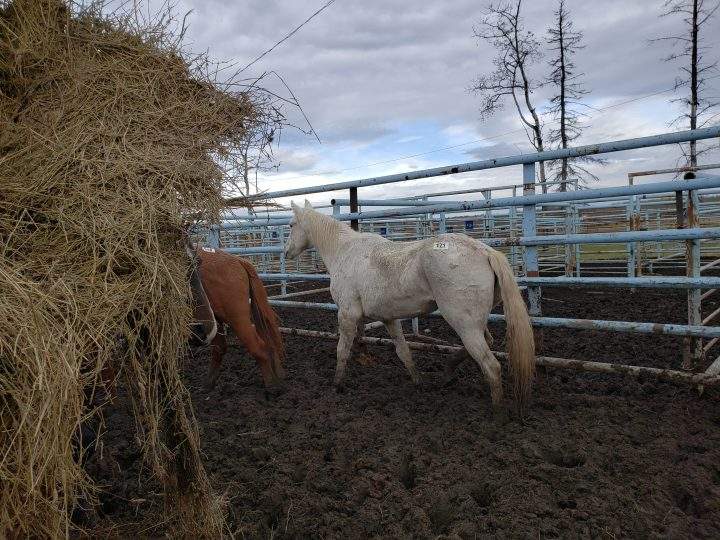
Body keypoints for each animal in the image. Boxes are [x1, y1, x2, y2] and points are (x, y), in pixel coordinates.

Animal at [195, 247, 285, 390]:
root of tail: (238, 260)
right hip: (215, 321)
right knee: (220, 348)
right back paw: (207, 384)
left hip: (237, 320)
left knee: (259, 347)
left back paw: (272, 386)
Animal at [283, 200, 535, 411]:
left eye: (292, 224)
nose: (286, 252)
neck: (344, 251)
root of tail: (485, 251)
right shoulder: (389, 319)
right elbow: (404, 352)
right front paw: (418, 382)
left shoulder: (347, 315)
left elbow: (342, 350)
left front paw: (337, 385)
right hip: (473, 323)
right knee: (487, 344)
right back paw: (448, 372)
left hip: (463, 323)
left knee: (491, 366)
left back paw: (497, 412)